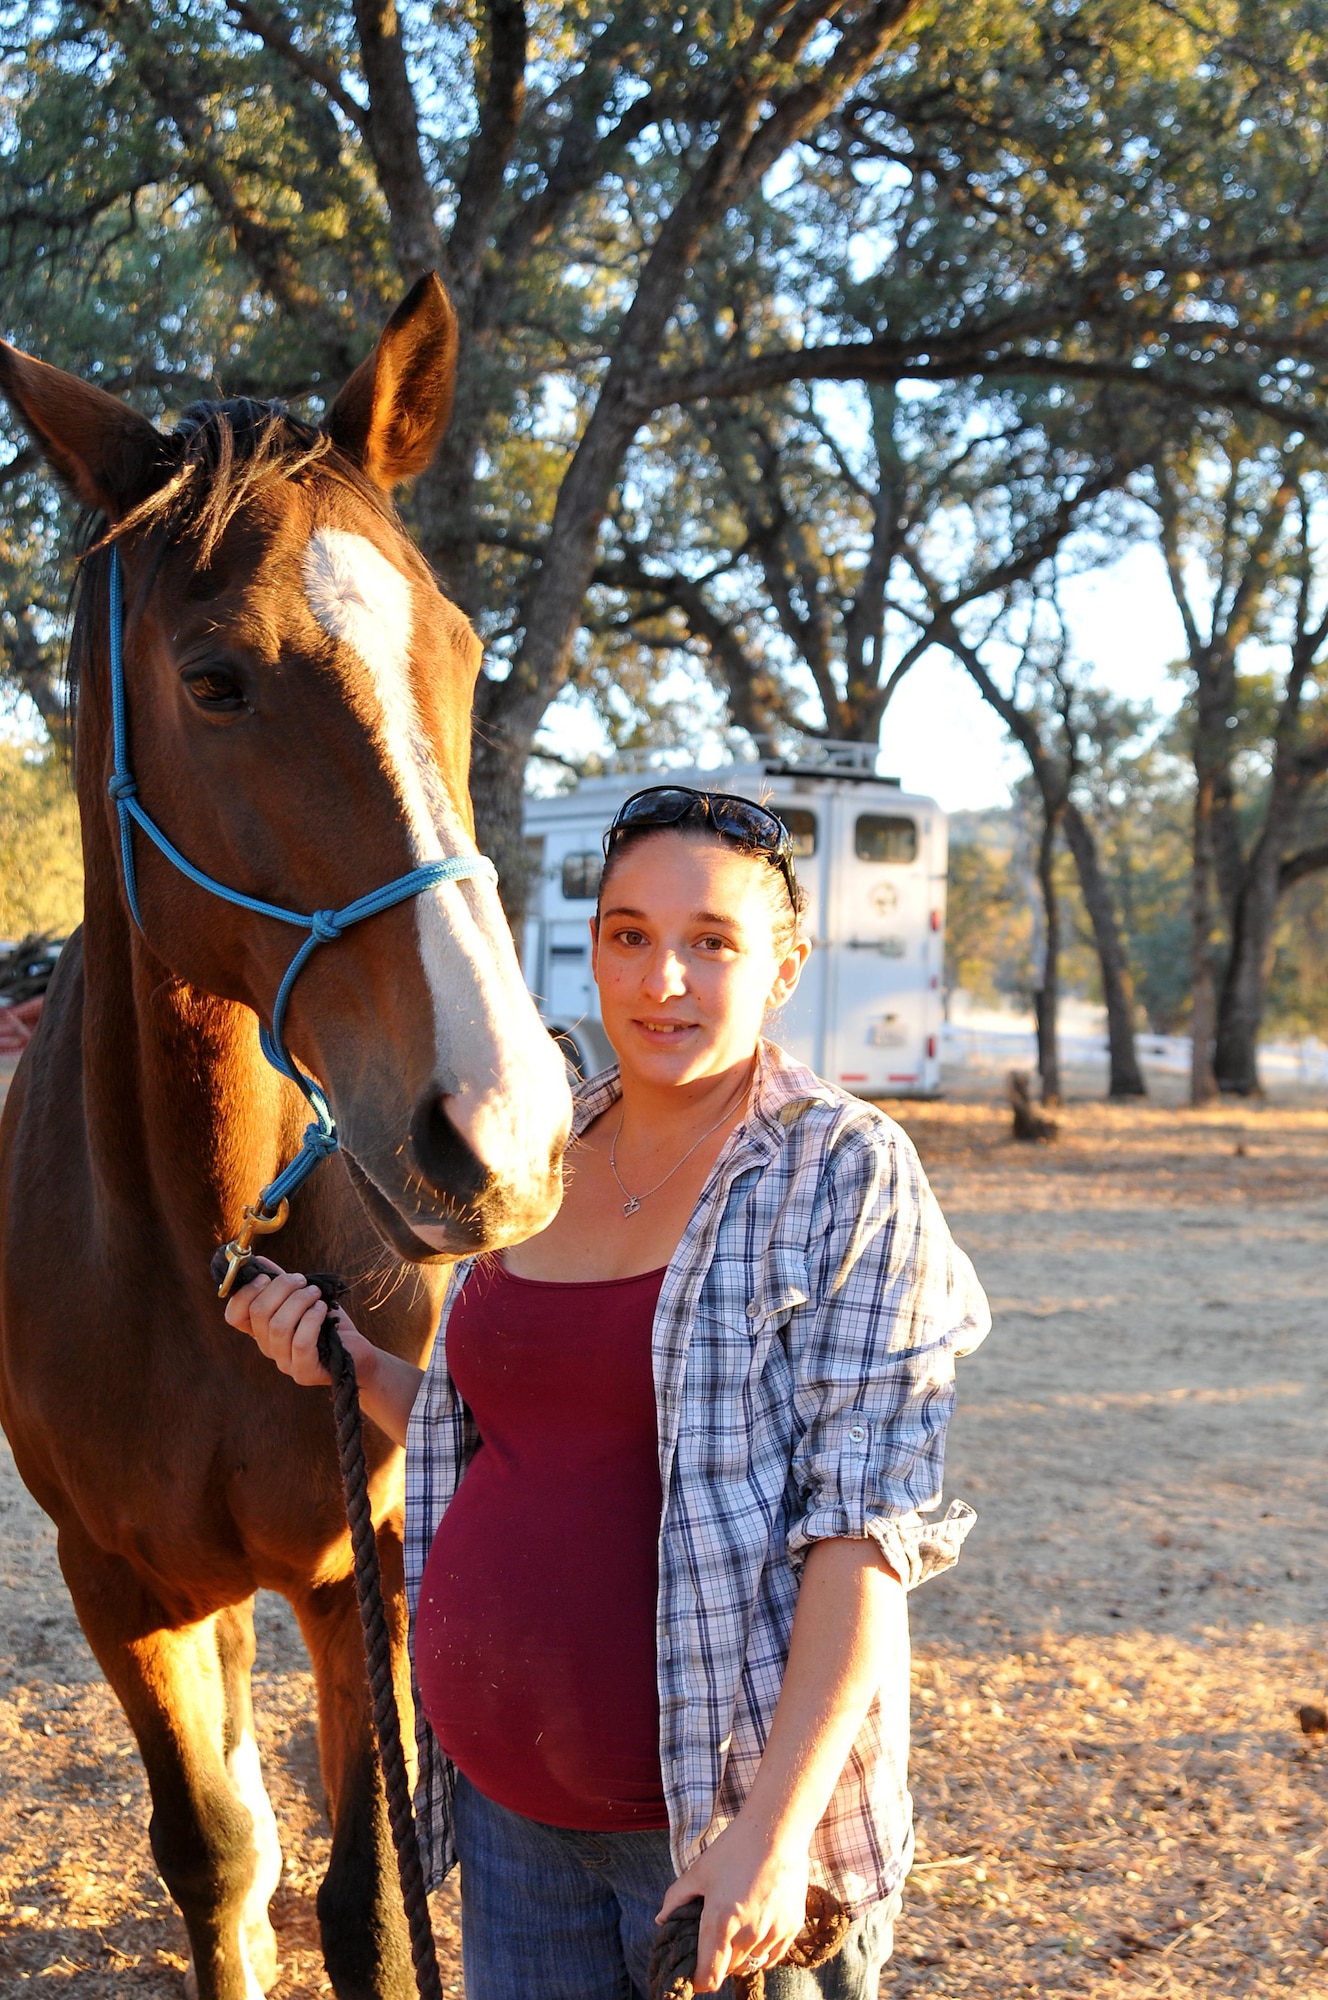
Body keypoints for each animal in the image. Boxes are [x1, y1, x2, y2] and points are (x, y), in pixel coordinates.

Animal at [0, 278, 564, 2000]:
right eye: (216, 680)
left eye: (457, 647)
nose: (500, 1124)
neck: (205, 1242)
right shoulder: (117, 1586)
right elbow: (216, 1858)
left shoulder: (360, 1568)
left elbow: (368, 1902)